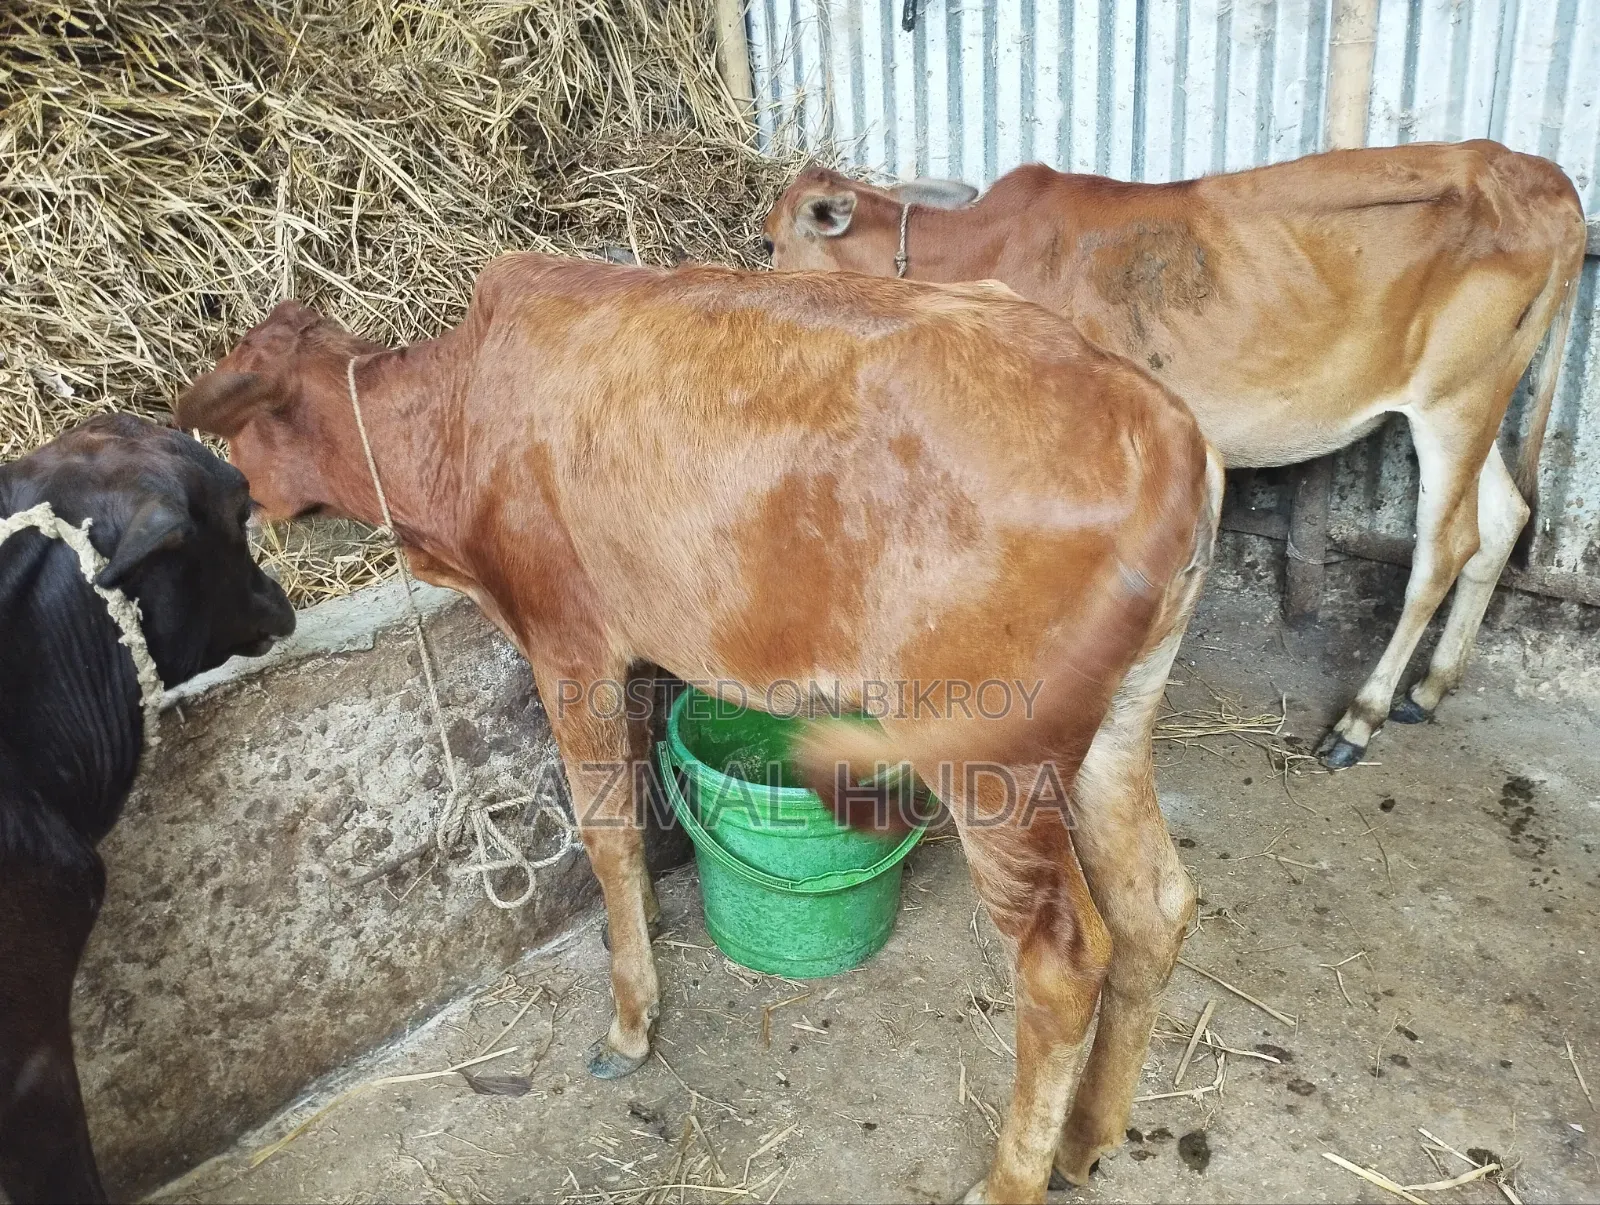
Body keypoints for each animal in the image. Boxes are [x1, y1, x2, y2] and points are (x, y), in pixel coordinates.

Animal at [175, 257, 1224, 1204]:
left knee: (1063, 960)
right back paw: (1086, 1139)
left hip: (988, 755)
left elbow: (605, 832)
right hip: (1115, 722)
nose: (250, 518)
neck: (455, 420)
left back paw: (1013, 1179)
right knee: (1155, 904)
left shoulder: (569, 643)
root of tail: (1164, 423)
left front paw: (630, 1022)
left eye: (231, 438)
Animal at [763, 140, 1588, 769]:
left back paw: (1362, 718)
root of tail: (1543, 177)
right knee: (1505, 519)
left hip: (1455, 402)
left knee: (1444, 547)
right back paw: (1432, 686)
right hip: (1471, 404)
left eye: (772, 241)